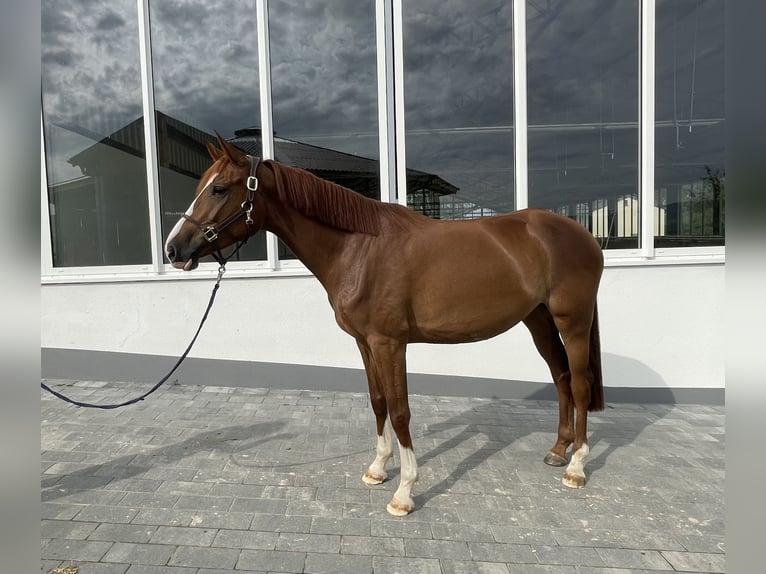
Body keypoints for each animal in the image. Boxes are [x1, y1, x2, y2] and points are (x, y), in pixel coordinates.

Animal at [166, 135, 608, 516]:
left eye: (219, 189)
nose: (173, 249)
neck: (359, 248)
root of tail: (582, 233)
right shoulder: (365, 343)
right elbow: (378, 402)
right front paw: (378, 470)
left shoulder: (389, 343)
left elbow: (399, 411)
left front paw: (405, 491)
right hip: (538, 320)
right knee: (562, 378)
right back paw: (558, 451)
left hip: (572, 321)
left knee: (580, 383)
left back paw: (576, 467)